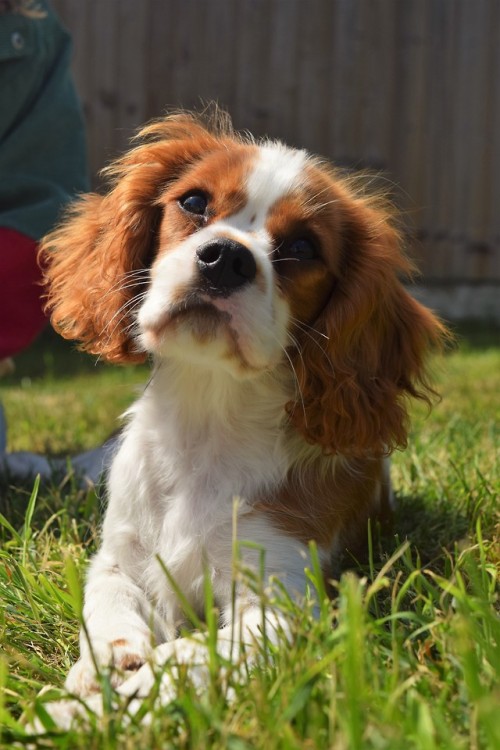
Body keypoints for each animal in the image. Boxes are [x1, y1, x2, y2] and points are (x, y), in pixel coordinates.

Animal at [39, 108, 446, 720]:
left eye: (303, 246)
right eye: (193, 202)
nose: (226, 258)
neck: (208, 419)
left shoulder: (281, 602)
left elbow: (199, 651)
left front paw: (140, 692)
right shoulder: (119, 557)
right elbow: (107, 604)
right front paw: (101, 673)